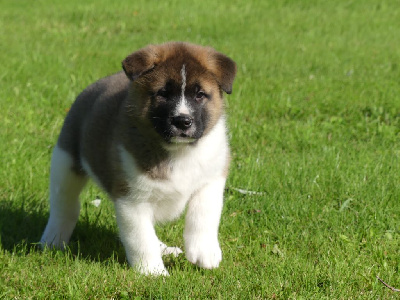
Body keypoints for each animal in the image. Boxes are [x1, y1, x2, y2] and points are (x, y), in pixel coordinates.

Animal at [39, 42, 238, 276]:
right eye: (163, 93)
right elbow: (141, 238)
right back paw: (52, 240)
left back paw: (165, 249)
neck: (178, 151)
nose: (183, 121)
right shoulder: (132, 200)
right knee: (65, 206)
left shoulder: (211, 180)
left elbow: (203, 216)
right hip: (65, 165)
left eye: (200, 95)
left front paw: (204, 252)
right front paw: (153, 272)